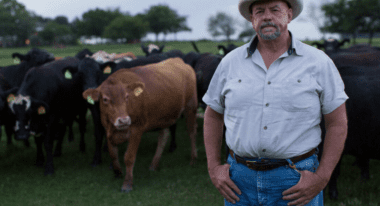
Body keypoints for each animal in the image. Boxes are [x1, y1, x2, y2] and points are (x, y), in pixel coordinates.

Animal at [81, 57, 197, 192]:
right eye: (105, 99)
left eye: (127, 96)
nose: (124, 120)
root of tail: (178, 60)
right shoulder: (107, 129)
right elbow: (113, 154)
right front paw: (117, 173)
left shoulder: (137, 129)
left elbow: (129, 157)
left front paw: (127, 183)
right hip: (164, 116)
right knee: (163, 137)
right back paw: (154, 165)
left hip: (191, 107)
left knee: (192, 132)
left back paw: (193, 159)